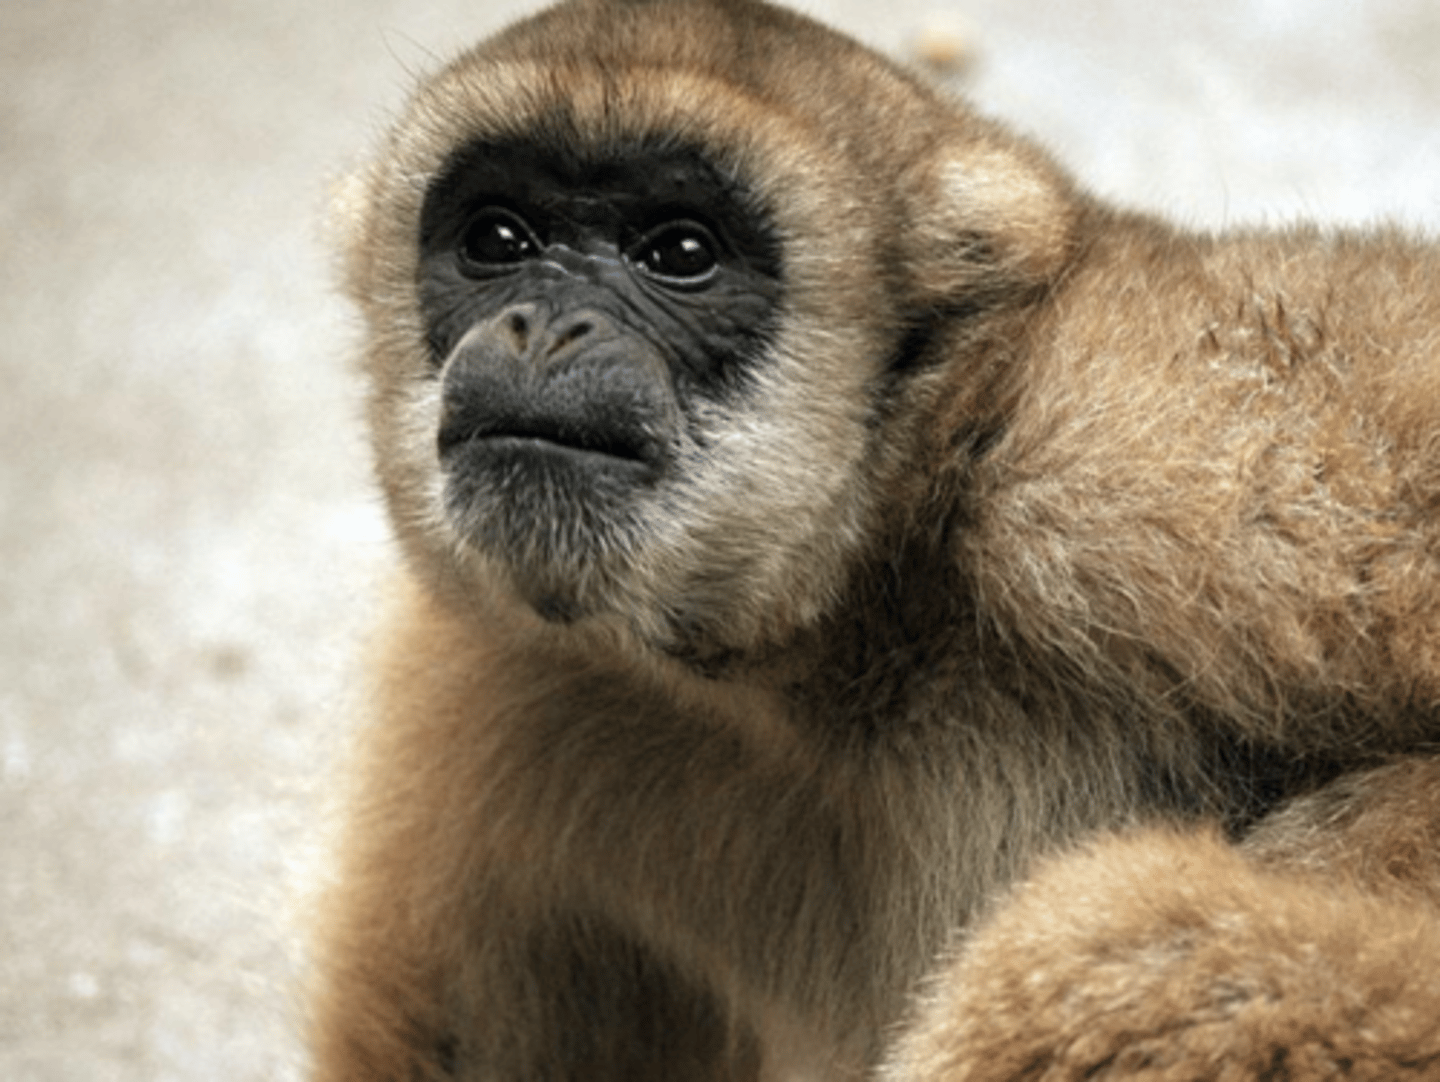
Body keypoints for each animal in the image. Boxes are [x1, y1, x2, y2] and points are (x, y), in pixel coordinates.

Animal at [309, 0, 1440, 1078]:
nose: (545, 326)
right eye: (498, 242)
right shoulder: (499, 676)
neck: (849, 655)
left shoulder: (1141, 428)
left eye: (679, 254)